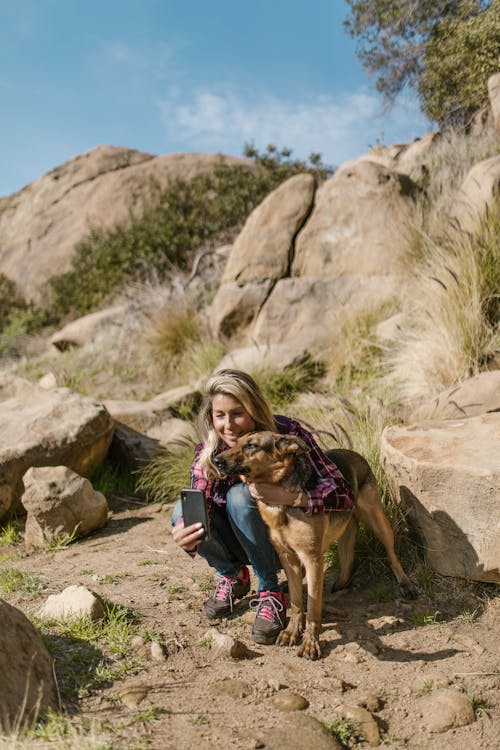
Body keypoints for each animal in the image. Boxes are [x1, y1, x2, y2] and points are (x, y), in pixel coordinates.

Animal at [213, 432, 416, 660]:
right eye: (235, 443)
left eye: (251, 445)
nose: (216, 461)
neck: (281, 501)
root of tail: (354, 453)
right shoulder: (288, 557)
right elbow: (296, 602)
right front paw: (292, 631)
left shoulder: (312, 558)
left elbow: (312, 607)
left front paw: (310, 642)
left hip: (378, 521)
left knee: (392, 553)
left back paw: (405, 584)